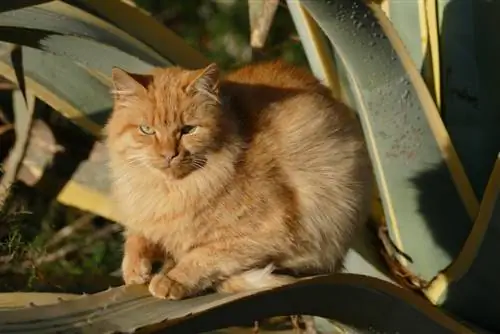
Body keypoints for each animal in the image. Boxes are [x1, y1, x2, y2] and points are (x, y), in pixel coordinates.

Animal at [104, 60, 372, 300]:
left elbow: (204, 256)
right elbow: (137, 237)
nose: (169, 155)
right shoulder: (146, 215)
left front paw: (172, 279)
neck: (173, 190)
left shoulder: (268, 233)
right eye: (146, 130)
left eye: (188, 130)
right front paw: (135, 268)